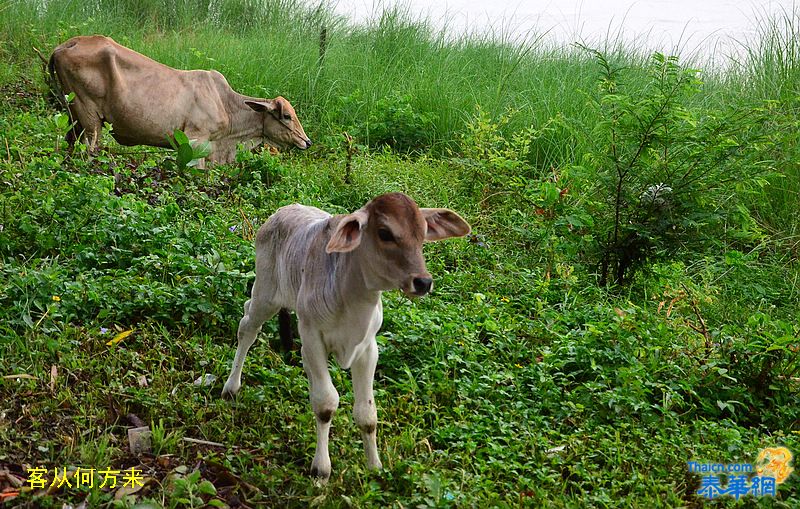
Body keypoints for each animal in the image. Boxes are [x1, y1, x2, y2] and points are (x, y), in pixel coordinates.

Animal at [47, 36, 310, 167]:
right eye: (287, 116)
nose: (306, 141)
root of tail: (66, 44)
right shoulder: (196, 141)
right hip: (89, 116)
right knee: (88, 149)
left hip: (74, 116)